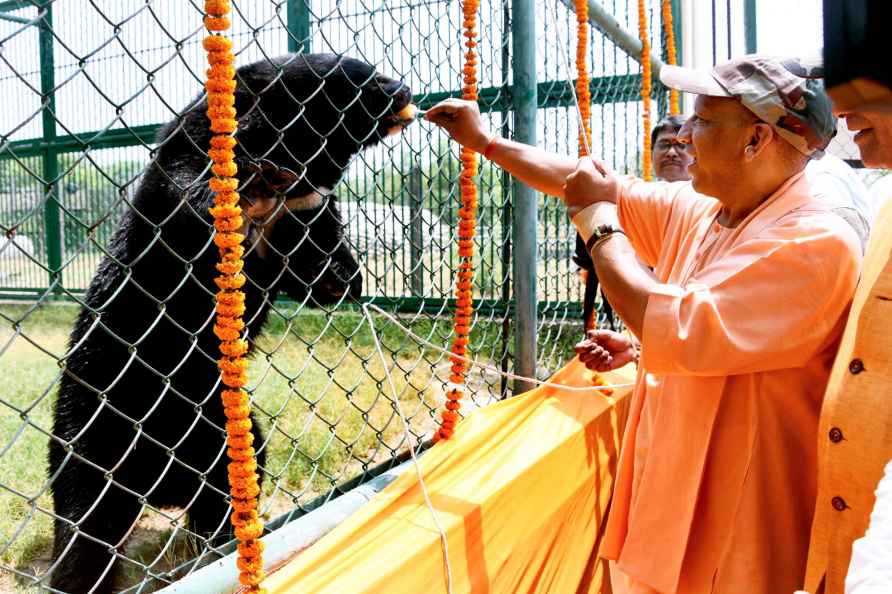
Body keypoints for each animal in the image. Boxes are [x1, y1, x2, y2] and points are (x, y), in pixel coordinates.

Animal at [45, 53, 414, 588]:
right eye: (356, 77)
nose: (404, 90)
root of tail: (158, 483)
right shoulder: (189, 154)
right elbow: (185, 197)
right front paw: (253, 185)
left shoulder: (309, 208)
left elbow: (315, 268)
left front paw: (344, 275)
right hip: (97, 423)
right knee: (85, 519)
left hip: (223, 431)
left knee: (228, 480)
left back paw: (220, 538)